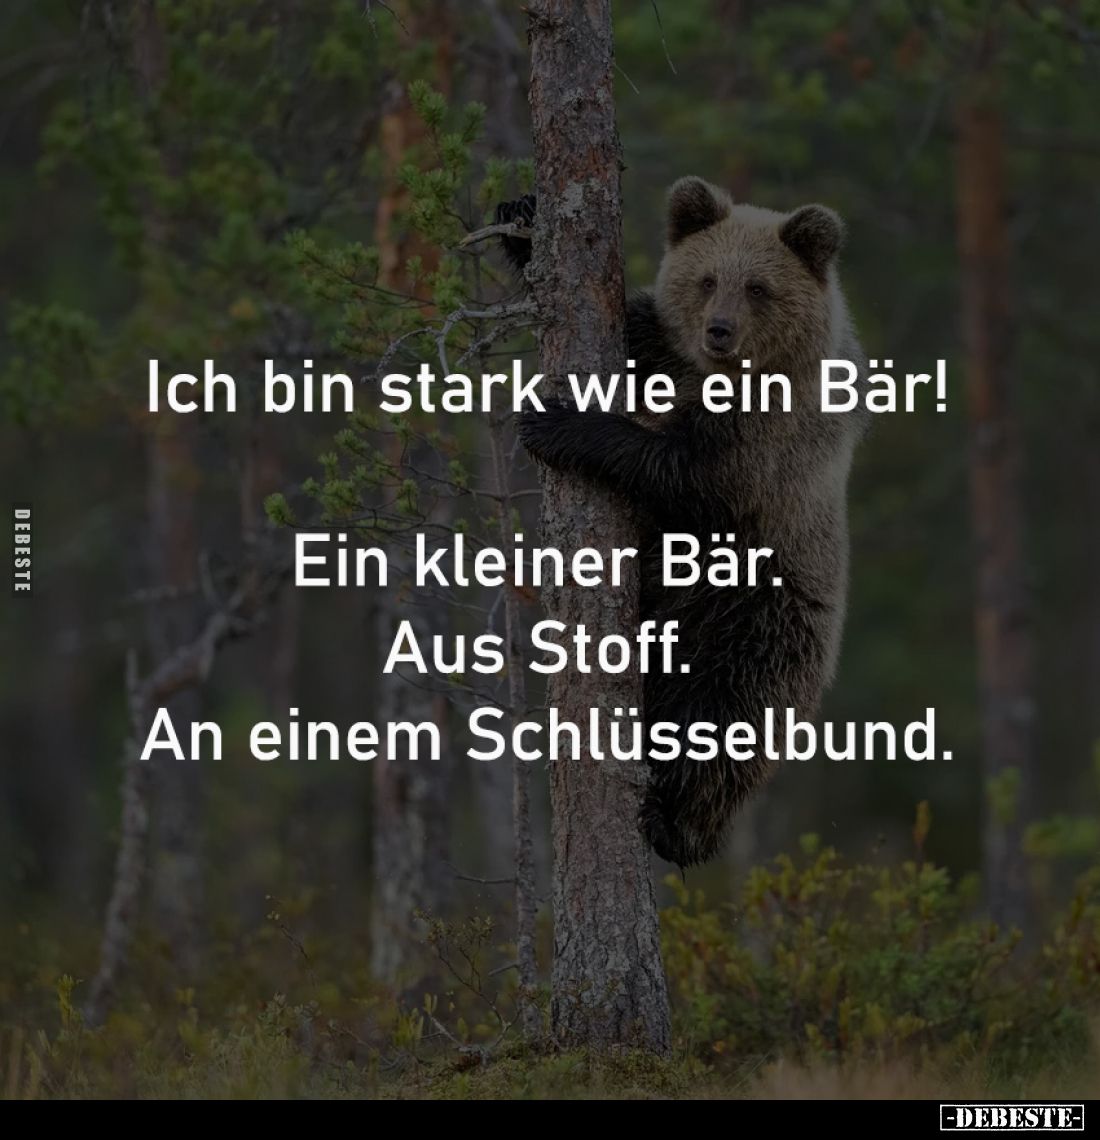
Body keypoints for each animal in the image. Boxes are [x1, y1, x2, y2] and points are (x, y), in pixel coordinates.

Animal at [496, 176, 869, 868]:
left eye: (758, 287)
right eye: (706, 279)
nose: (720, 331)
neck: (718, 377)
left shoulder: (767, 445)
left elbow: (683, 471)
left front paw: (557, 422)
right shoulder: (665, 351)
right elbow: (633, 325)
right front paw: (522, 220)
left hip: (753, 624)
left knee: (721, 726)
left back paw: (678, 829)